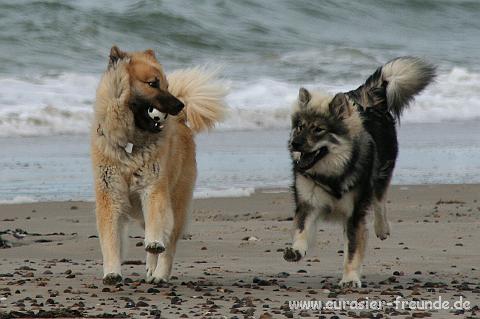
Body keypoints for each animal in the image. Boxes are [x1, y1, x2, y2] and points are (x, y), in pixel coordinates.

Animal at [91, 45, 227, 284]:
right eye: (153, 84)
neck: (130, 143)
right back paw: (150, 269)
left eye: (166, 85)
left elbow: (157, 225)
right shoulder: (110, 196)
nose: (180, 105)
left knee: (169, 246)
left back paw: (160, 274)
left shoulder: (153, 188)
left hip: (178, 203)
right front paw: (112, 272)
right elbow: (110, 240)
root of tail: (182, 121)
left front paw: (154, 243)